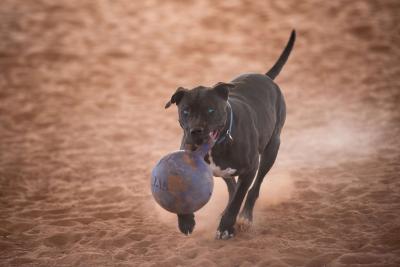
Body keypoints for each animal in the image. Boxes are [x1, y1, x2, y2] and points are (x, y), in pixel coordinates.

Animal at [164, 29, 296, 241]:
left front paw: (226, 226)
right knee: (232, 186)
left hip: (271, 149)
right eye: (185, 111)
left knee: (253, 189)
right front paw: (186, 221)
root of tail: (266, 77)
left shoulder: (250, 168)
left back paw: (245, 217)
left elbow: (239, 199)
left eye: (210, 110)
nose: (195, 132)